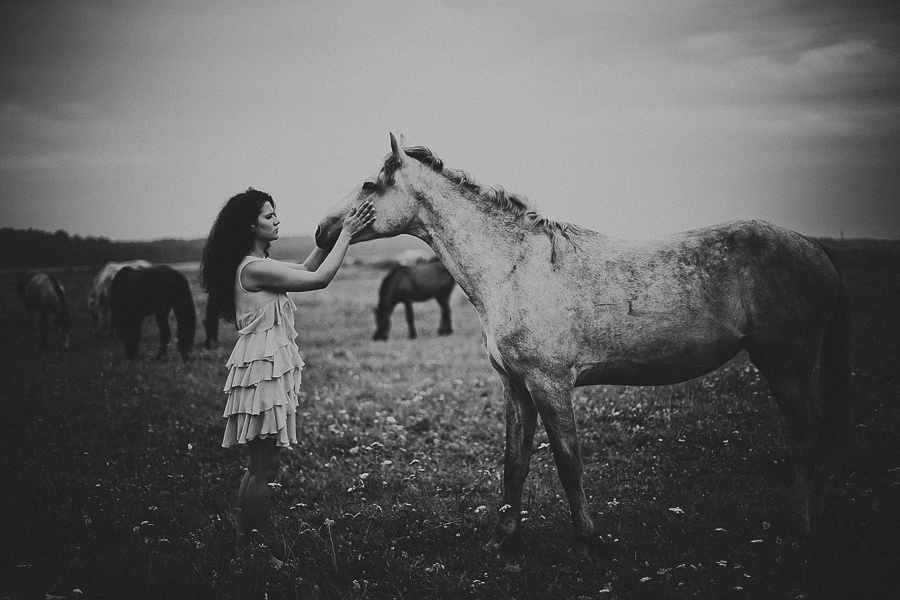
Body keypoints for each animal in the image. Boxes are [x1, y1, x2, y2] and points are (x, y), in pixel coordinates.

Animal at [315, 134, 851, 559]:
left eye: (369, 185)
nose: (322, 231)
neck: (515, 268)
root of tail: (815, 251)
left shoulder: (550, 385)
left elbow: (568, 461)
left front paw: (588, 539)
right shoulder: (517, 388)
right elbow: (514, 465)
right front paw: (502, 539)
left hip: (785, 366)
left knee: (807, 439)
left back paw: (798, 531)